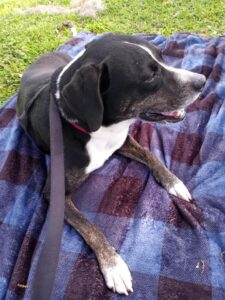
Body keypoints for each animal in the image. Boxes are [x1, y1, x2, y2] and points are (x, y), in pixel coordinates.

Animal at [16, 34, 206, 296]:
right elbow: (90, 227)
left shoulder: (123, 141)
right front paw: (114, 267)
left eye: (162, 57)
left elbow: (152, 156)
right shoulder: (54, 194)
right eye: (150, 76)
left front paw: (174, 182)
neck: (97, 129)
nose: (203, 81)